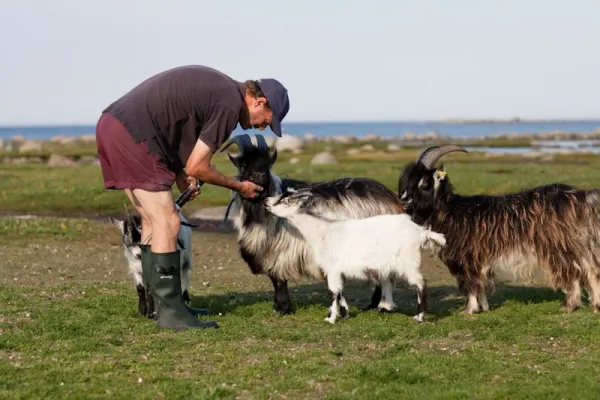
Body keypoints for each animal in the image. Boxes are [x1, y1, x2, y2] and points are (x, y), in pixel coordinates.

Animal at [218, 133, 406, 314]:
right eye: (243, 164)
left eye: (267, 165)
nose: (260, 176)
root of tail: (393, 199)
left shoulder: (278, 251)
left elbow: (278, 280)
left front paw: (280, 308)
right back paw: (374, 305)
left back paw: (380, 306)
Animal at [264, 188, 448, 324]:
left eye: (285, 201)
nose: (266, 201)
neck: (323, 232)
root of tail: (420, 232)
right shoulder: (337, 271)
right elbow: (340, 291)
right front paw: (345, 314)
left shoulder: (332, 268)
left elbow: (332, 292)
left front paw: (331, 318)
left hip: (408, 263)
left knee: (421, 284)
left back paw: (419, 316)